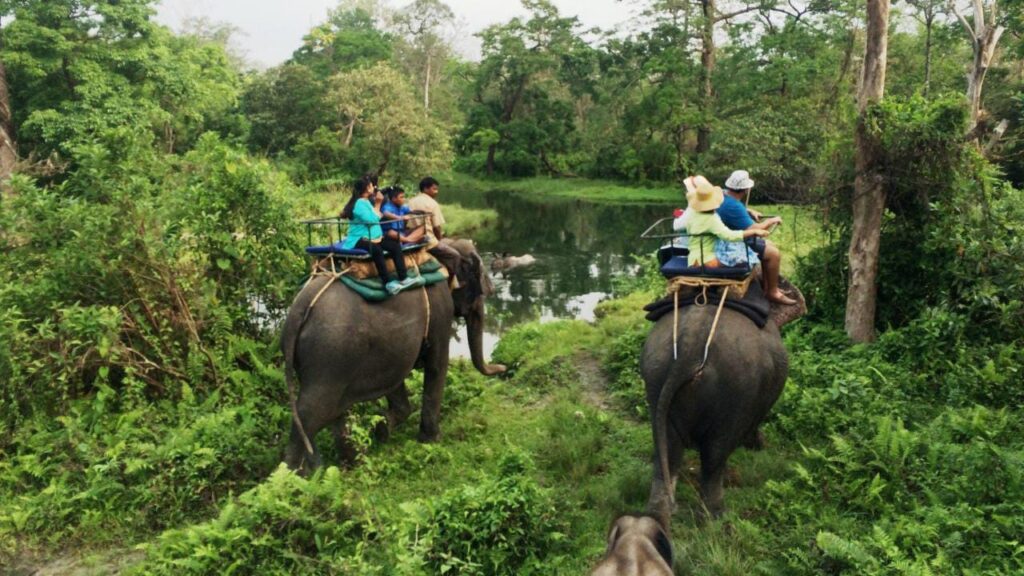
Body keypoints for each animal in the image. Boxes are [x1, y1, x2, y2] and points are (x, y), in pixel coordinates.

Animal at [282, 237, 505, 471]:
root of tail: (299, 310)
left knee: (327, 413)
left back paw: (342, 465)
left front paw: (381, 430)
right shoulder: (440, 308)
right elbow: (437, 365)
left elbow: (396, 379)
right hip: (329, 357)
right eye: (477, 282)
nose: (503, 366)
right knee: (310, 415)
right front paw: (432, 441)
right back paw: (297, 476)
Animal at [638, 276, 806, 522]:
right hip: (735, 389)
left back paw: (659, 514)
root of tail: (688, 350)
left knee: (666, 450)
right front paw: (758, 446)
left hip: (655, 376)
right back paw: (717, 516)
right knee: (715, 452)